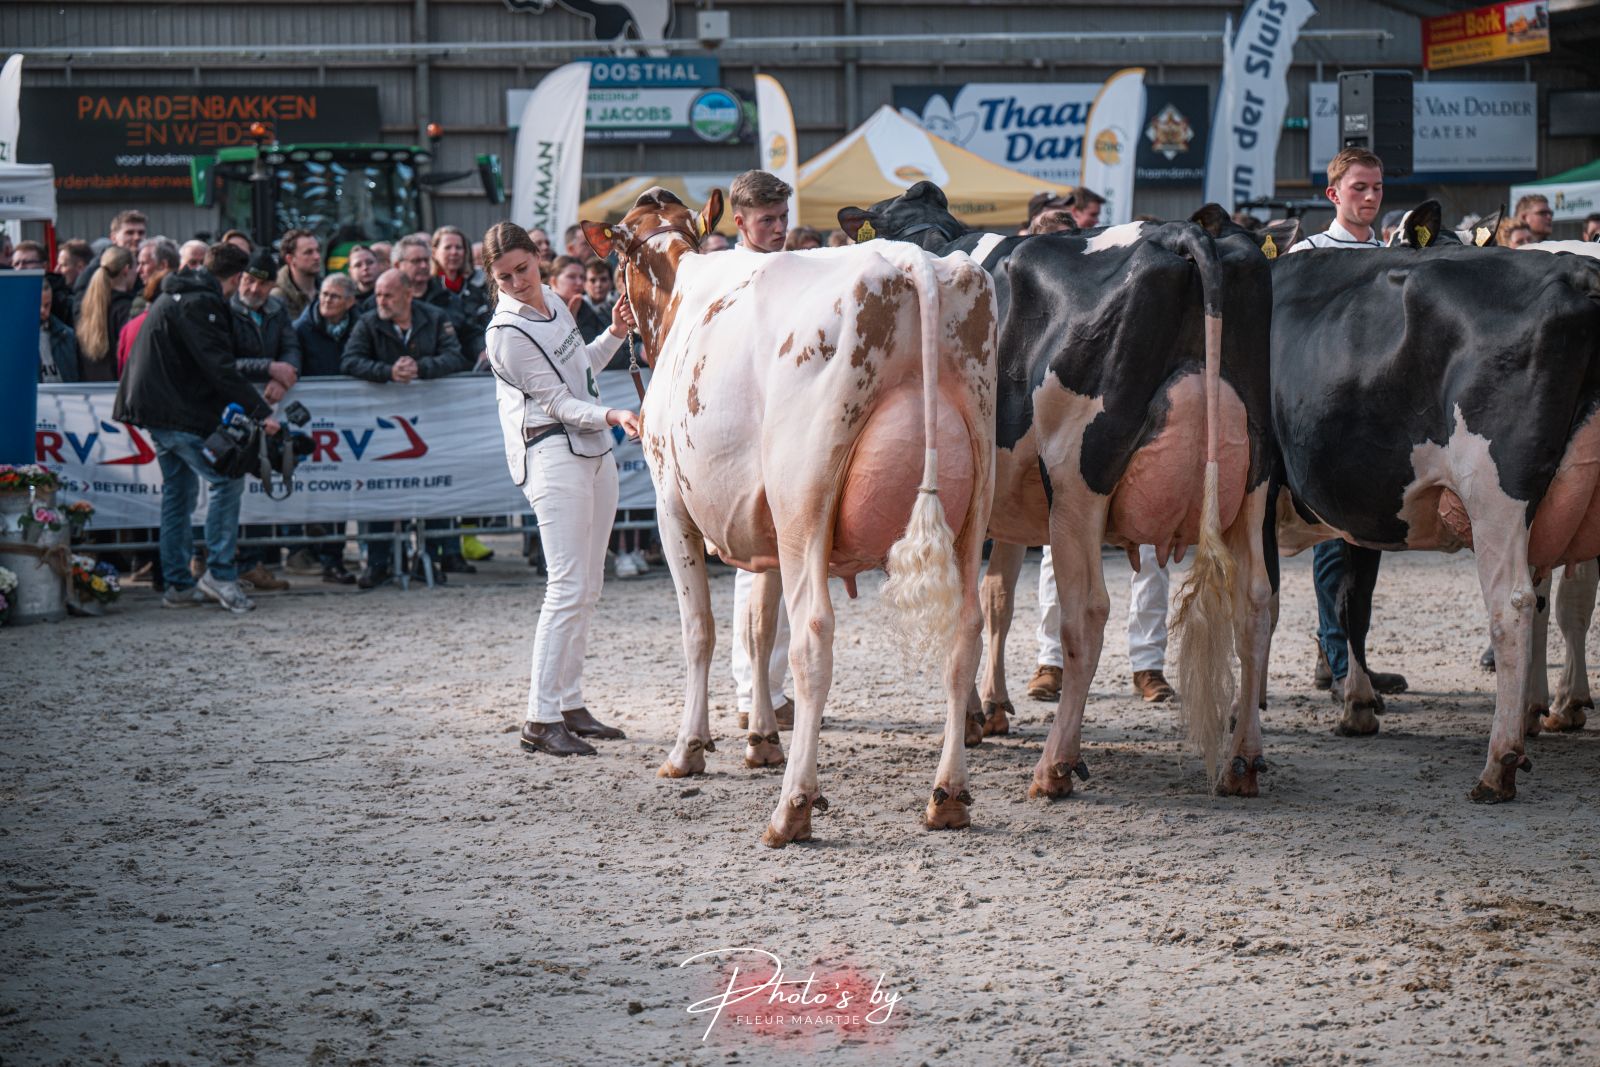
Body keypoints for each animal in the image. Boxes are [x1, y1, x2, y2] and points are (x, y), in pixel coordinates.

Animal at [581, 188, 998, 847]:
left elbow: (701, 629)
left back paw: (793, 807)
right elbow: (757, 626)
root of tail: (911, 265)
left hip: (805, 497)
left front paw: (689, 749)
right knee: (965, 633)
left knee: (814, 638)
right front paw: (760, 740)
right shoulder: (765, 525)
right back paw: (948, 797)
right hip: (971, 498)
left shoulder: (672, 506)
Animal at [839, 182, 1287, 797]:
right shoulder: (1005, 505)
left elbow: (968, 604)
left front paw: (974, 716)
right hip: (1253, 478)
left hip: (1079, 480)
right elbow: (996, 598)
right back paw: (1244, 758)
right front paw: (990, 709)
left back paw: (1056, 765)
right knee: (1256, 602)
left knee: (1088, 612)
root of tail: (1183, 232)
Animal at [1256, 199, 1600, 802]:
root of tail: (1578, 273)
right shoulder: (1365, 506)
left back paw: (1499, 763)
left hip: (1496, 490)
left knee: (1512, 605)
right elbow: (1351, 601)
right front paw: (1358, 704)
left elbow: (1258, 605)